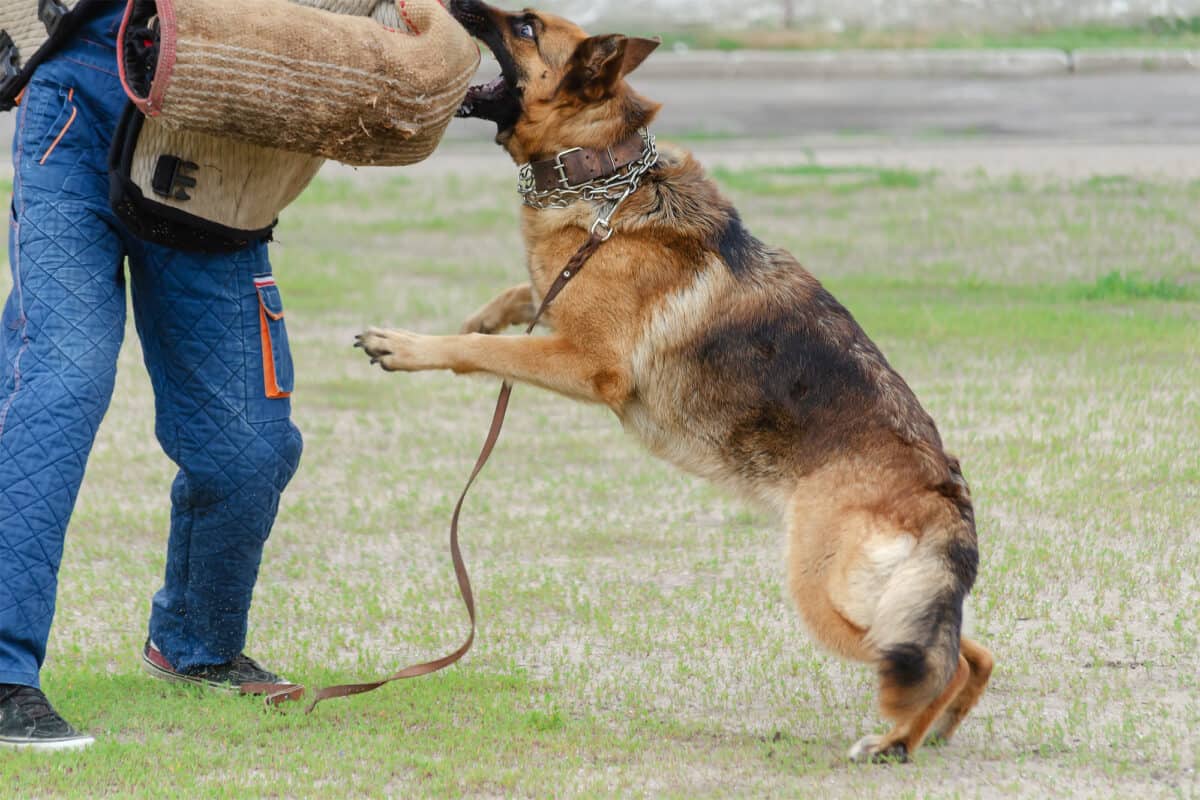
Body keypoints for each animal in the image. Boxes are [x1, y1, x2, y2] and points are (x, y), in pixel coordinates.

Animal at [355, 0, 993, 762]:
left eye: (527, 27)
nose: (455, 5)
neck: (604, 174)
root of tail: (945, 490)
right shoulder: (560, 307)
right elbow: (519, 298)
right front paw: (483, 313)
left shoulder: (586, 364)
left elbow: (488, 350)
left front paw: (407, 345)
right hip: (890, 600)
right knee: (967, 654)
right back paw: (935, 731)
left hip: (831, 593)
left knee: (941, 659)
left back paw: (894, 742)